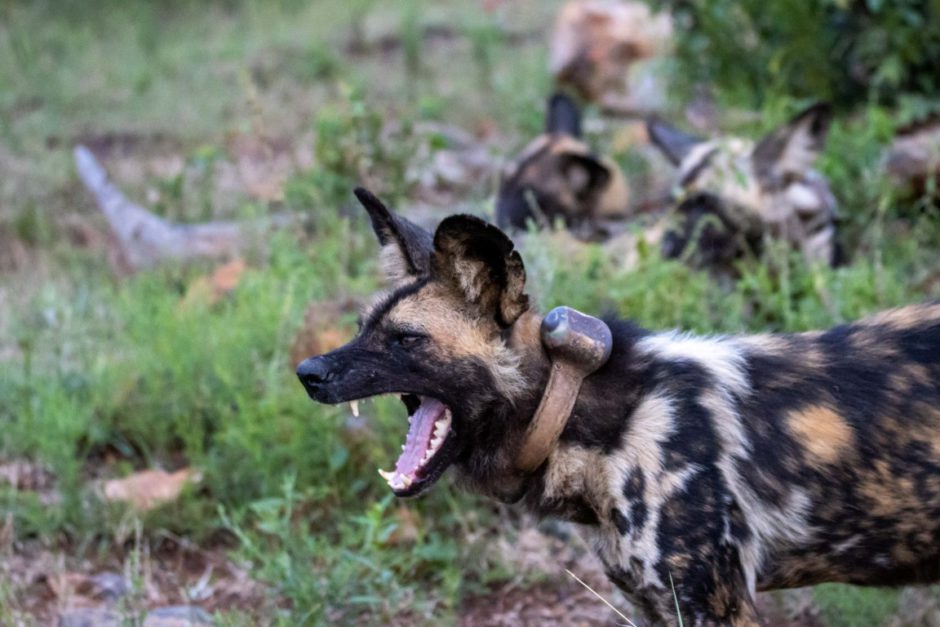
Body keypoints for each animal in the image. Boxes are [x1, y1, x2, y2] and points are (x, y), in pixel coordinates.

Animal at [300, 188, 940, 627]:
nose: (308, 373)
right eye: (362, 327)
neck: (592, 420)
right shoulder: (659, 605)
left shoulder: (715, 605)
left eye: (405, 340)